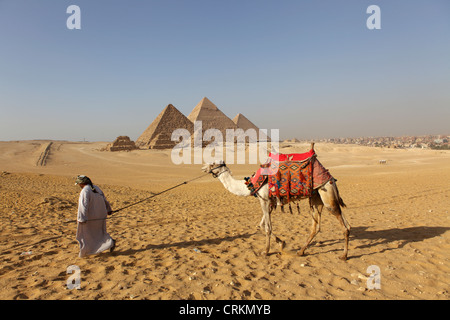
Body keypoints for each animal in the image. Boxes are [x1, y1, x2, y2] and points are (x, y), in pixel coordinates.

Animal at [203, 146, 352, 262]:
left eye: (213, 163)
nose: (203, 167)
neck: (251, 184)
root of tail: (331, 178)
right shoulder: (269, 202)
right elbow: (262, 225)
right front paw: (281, 242)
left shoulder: (264, 200)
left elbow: (267, 228)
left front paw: (265, 251)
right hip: (316, 198)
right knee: (318, 226)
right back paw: (301, 251)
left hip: (327, 194)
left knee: (344, 226)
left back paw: (343, 256)